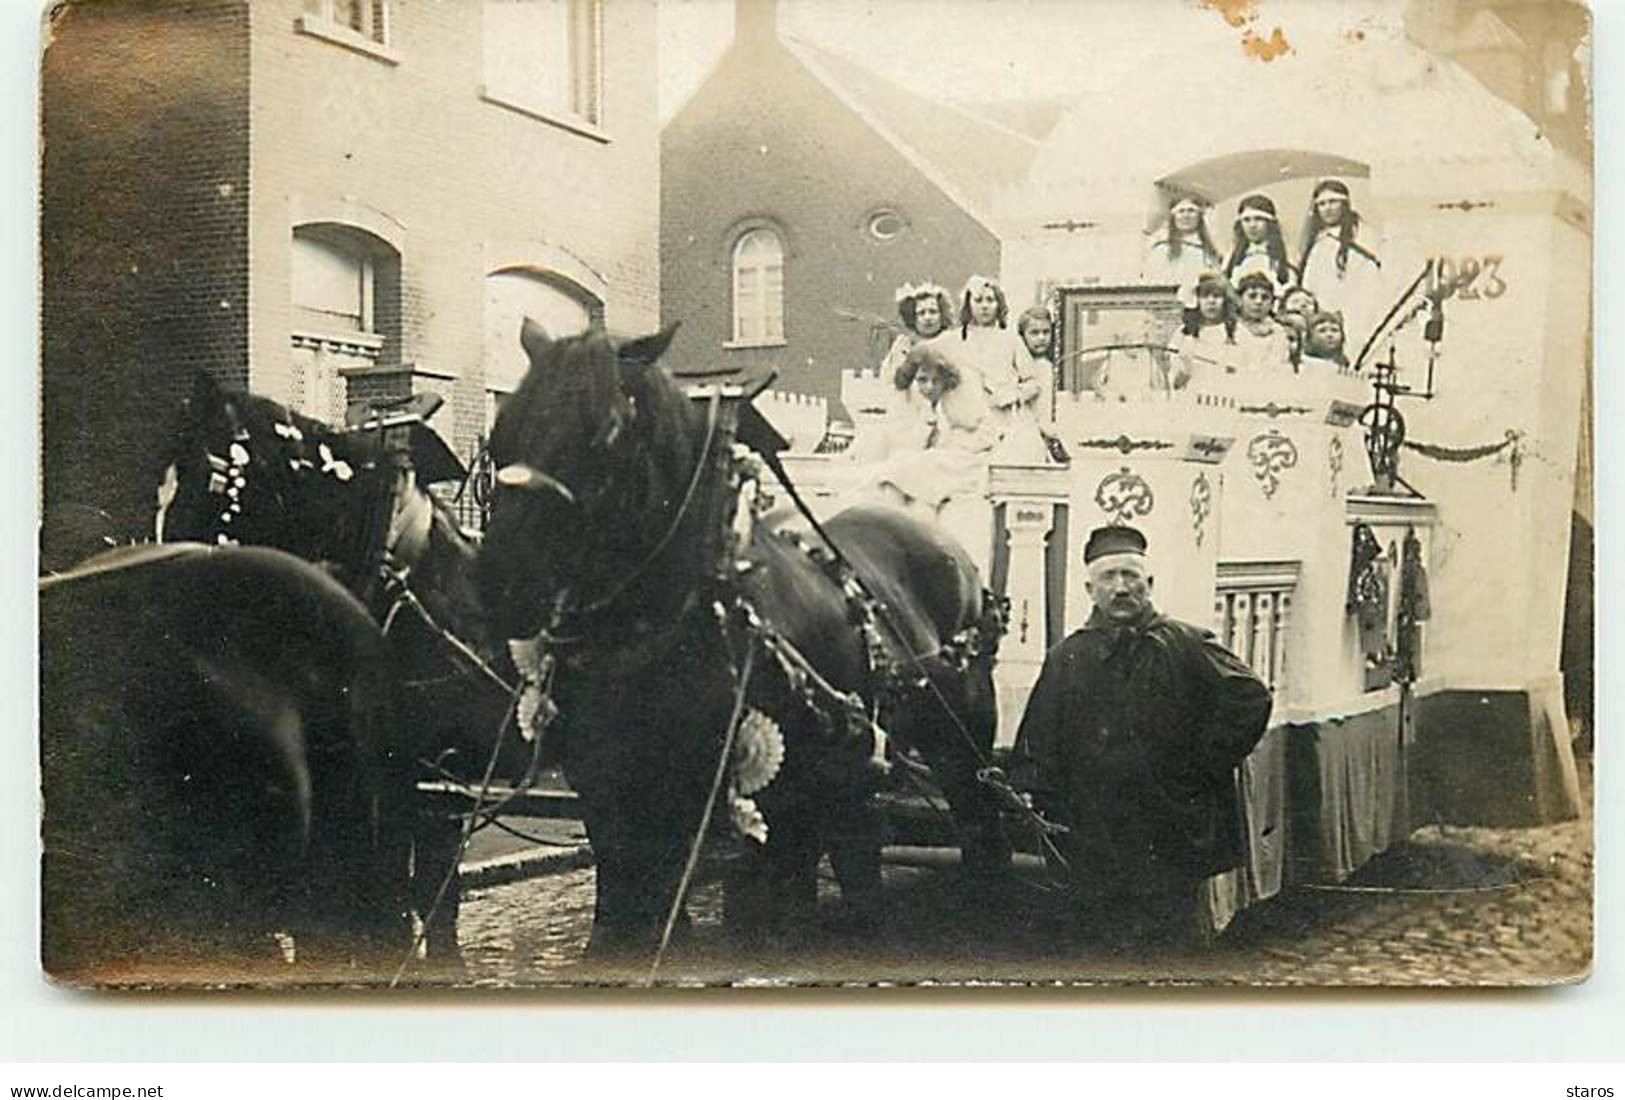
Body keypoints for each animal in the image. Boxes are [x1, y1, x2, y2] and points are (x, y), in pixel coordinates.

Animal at [474, 321, 1001, 955]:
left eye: (606, 432)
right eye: (501, 432)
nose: (502, 582)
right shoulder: (612, 800)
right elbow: (630, 912)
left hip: (960, 739)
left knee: (975, 825)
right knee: (856, 847)